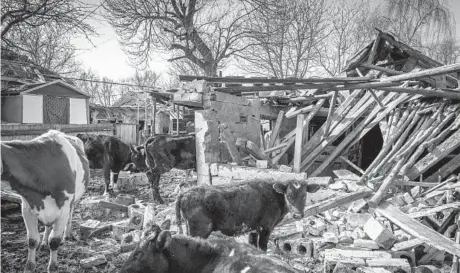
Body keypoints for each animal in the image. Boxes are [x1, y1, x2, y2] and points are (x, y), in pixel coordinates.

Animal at [174, 178, 318, 251]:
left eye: (304, 196)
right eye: (288, 195)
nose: (297, 215)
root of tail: (186, 192)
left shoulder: (253, 229)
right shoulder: (265, 227)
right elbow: (262, 248)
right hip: (199, 230)